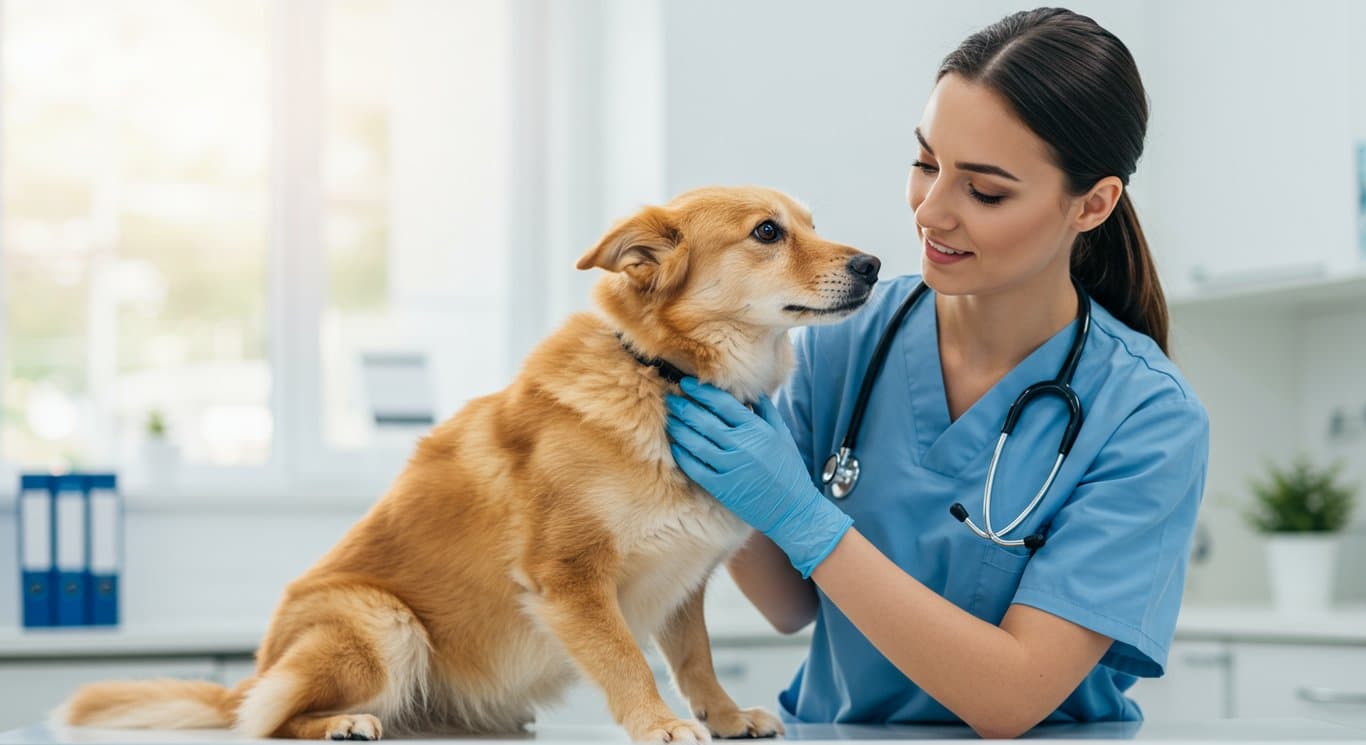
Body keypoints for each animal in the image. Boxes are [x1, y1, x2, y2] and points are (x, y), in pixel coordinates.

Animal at [58, 184, 879, 738]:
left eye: (811, 224)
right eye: (768, 232)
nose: (873, 263)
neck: (663, 376)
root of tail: (257, 668)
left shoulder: (685, 580)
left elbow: (696, 656)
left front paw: (724, 715)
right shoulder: (568, 576)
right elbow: (627, 658)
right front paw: (658, 723)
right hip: (382, 621)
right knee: (259, 720)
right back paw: (341, 723)